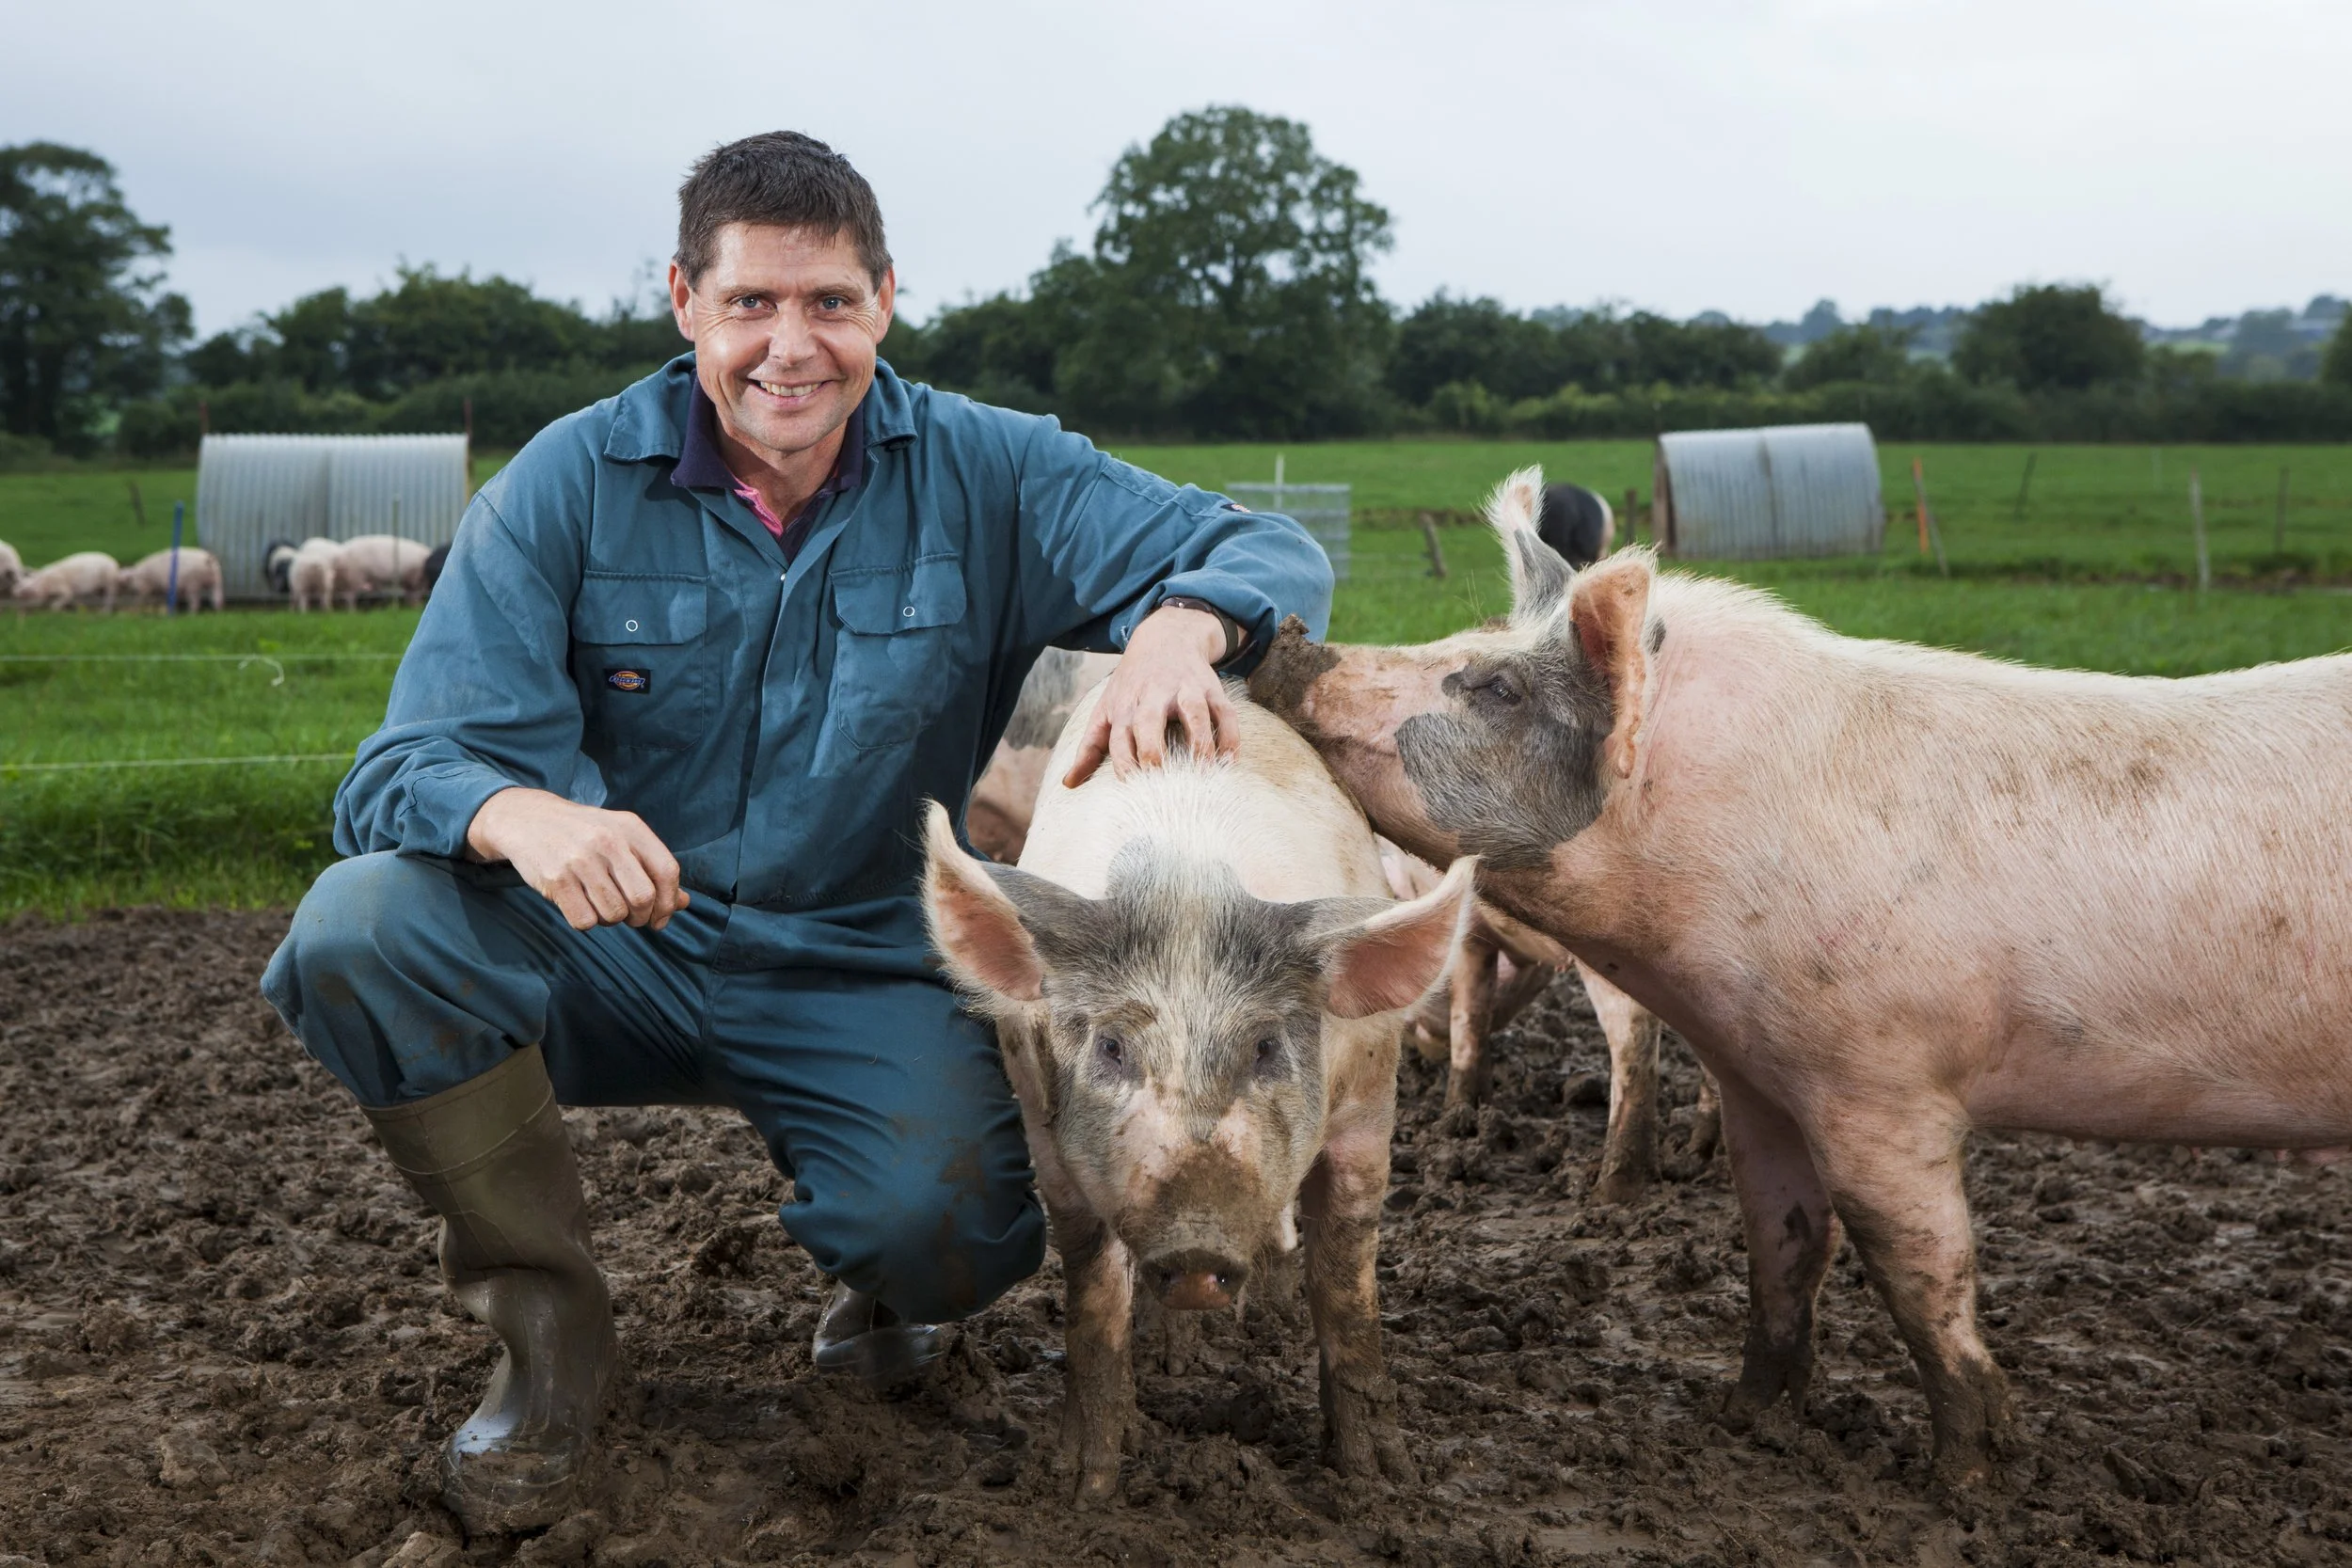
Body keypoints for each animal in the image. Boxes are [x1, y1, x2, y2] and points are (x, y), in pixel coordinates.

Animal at [921, 687, 1477, 1501]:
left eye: (1265, 1046)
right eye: (1112, 1047)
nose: (1194, 1247)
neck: (1188, 883)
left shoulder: (1370, 1100)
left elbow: (1346, 1281)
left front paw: (1381, 1481)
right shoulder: (1043, 1125)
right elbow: (1094, 1292)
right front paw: (1082, 1486)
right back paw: (1171, 1358)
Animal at [1248, 466, 2352, 1489]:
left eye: (1497, 688)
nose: (1295, 637)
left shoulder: (1882, 1084)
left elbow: (1921, 1272)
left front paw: (1966, 1479)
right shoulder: (1758, 1077)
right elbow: (1782, 1242)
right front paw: (1744, 1420)